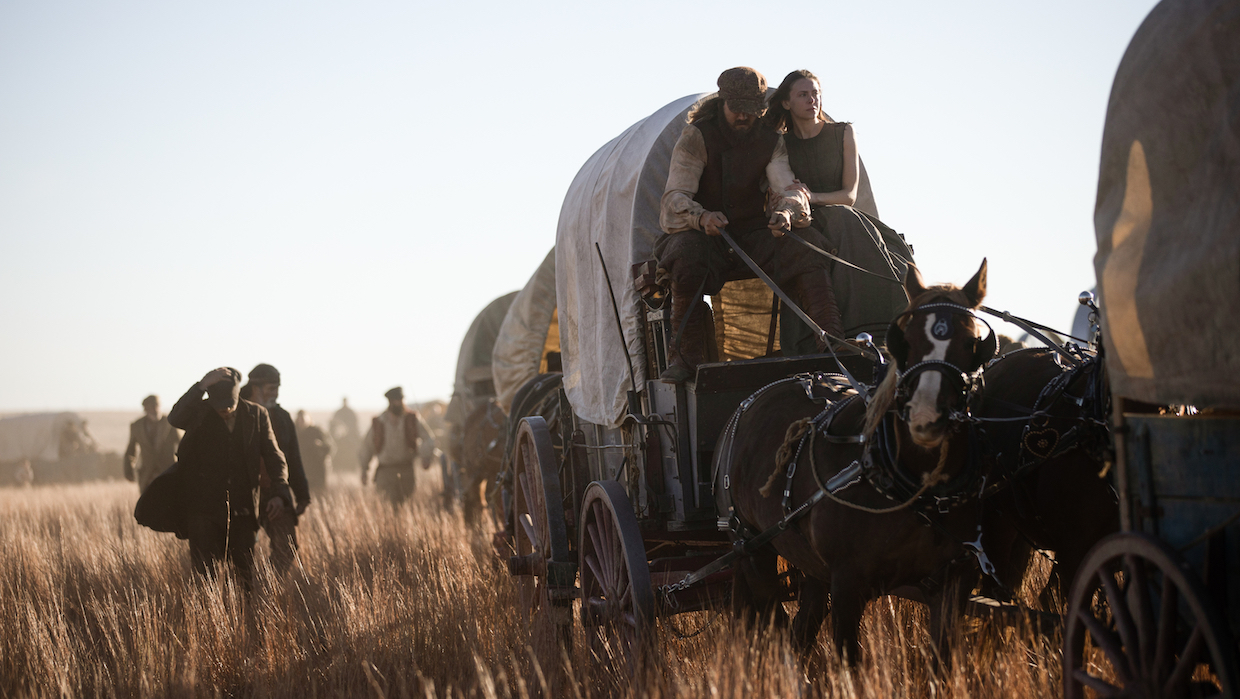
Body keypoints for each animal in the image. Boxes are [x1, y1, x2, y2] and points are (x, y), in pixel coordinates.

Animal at [719, 259, 996, 664]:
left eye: (972, 342)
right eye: (905, 340)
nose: (925, 417)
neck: (910, 487)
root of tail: (751, 399)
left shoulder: (953, 582)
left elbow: (942, 660)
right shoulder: (848, 584)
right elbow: (851, 660)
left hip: (808, 563)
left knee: (803, 625)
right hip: (752, 547)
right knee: (775, 622)